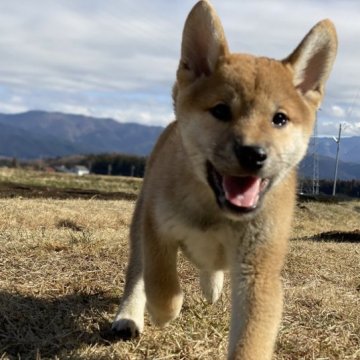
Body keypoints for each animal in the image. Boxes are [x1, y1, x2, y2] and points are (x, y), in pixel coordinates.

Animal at [110, 1, 338, 358]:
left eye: (279, 119)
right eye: (220, 110)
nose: (253, 153)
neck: (215, 210)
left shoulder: (257, 270)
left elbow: (251, 341)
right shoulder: (157, 228)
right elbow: (162, 283)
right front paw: (163, 312)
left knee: (209, 266)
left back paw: (211, 286)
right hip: (139, 221)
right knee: (137, 272)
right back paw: (129, 316)